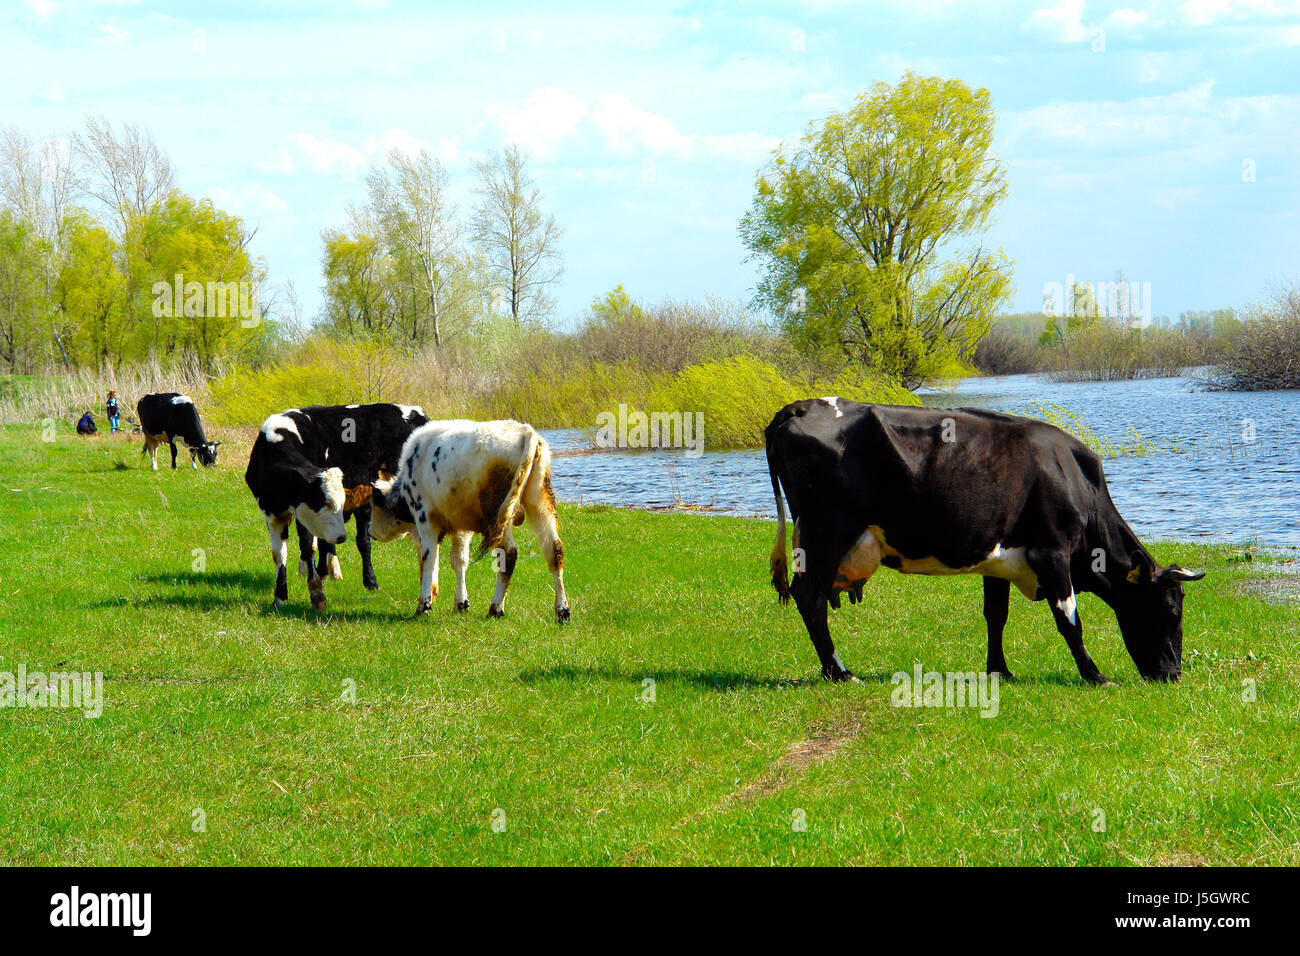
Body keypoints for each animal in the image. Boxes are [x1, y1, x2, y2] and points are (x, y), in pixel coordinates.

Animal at [244, 403, 428, 610]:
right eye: (325, 502)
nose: (341, 537)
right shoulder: (272, 514)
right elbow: (280, 554)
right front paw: (280, 596)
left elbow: (309, 546)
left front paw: (316, 593)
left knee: (363, 542)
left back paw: (370, 581)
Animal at [367, 419, 571, 622]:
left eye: (373, 506)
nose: (370, 531)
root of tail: (524, 430)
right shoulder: (461, 529)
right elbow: (459, 561)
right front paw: (461, 603)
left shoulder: (425, 520)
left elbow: (429, 559)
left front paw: (424, 604)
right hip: (539, 504)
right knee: (554, 550)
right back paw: (562, 611)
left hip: (498, 515)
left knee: (508, 555)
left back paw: (496, 608)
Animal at [766, 398, 1204, 685]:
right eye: (1170, 607)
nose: (1173, 674)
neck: (1076, 478)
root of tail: (797, 407)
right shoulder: (1052, 551)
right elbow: (1068, 620)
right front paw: (1094, 675)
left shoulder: (999, 559)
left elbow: (996, 616)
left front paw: (1000, 671)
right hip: (825, 535)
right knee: (811, 599)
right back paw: (839, 672)